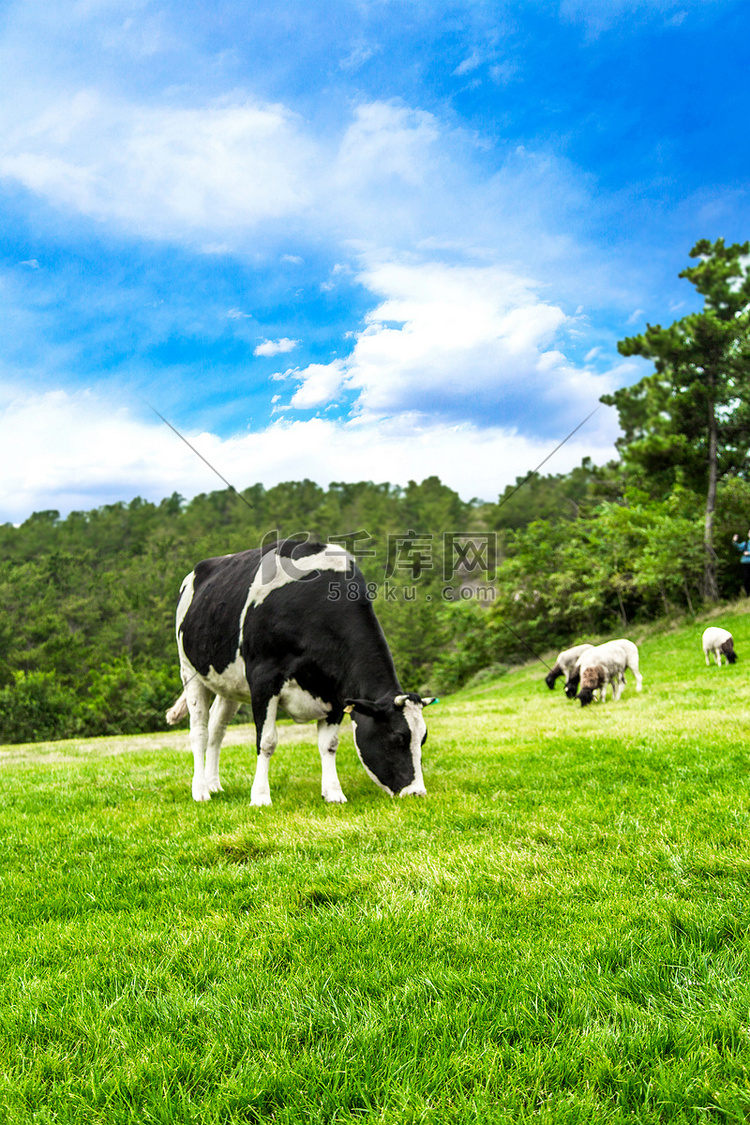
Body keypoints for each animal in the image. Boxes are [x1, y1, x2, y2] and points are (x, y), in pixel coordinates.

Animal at [164, 540, 434, 805]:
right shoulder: (264, 679)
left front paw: (333, 793)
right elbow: (267, 741)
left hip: (228, 683)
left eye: (423, 739)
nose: (417, 792)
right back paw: (201, 791)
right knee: (200, 731)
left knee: (217, 731)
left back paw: (214, 784)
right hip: (189, 670)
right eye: (397, 738)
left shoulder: (335, 691)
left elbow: (329, 744)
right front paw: (260, 797)